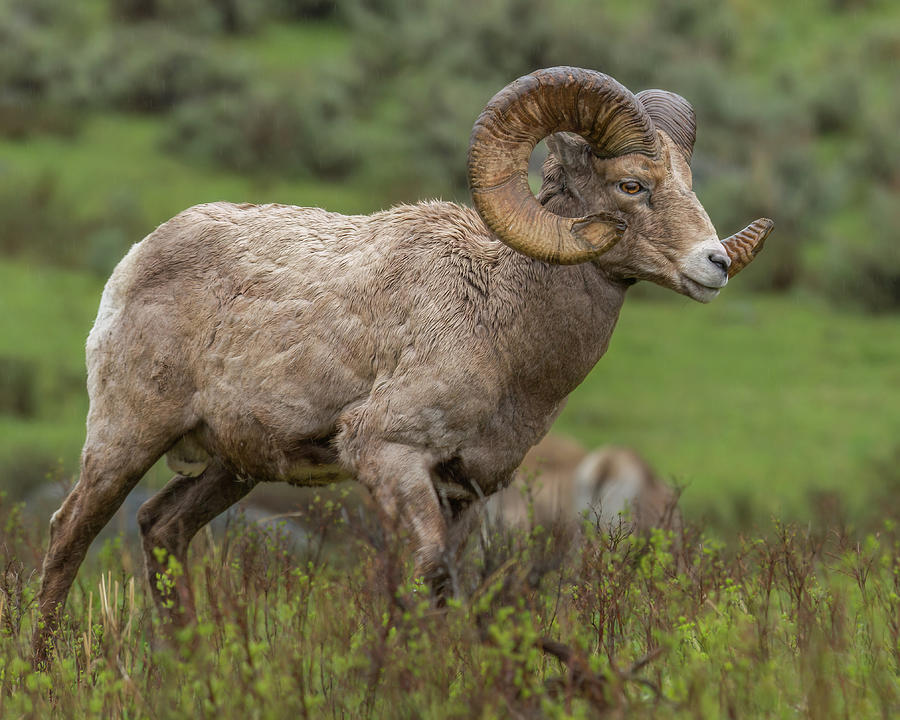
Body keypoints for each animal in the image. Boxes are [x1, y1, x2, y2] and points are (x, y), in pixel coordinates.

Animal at [31, 69, 768, 660]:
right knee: (70, 534)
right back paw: (42, 664)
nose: (714, 265)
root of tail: (137, 257)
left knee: (162, 529)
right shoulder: (390, 457)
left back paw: (191, 664)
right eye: (631, 184)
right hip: (127, 437)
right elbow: (433, 578)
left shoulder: (466, 490)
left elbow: (448, 588)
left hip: (232, 468)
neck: (503, 325)